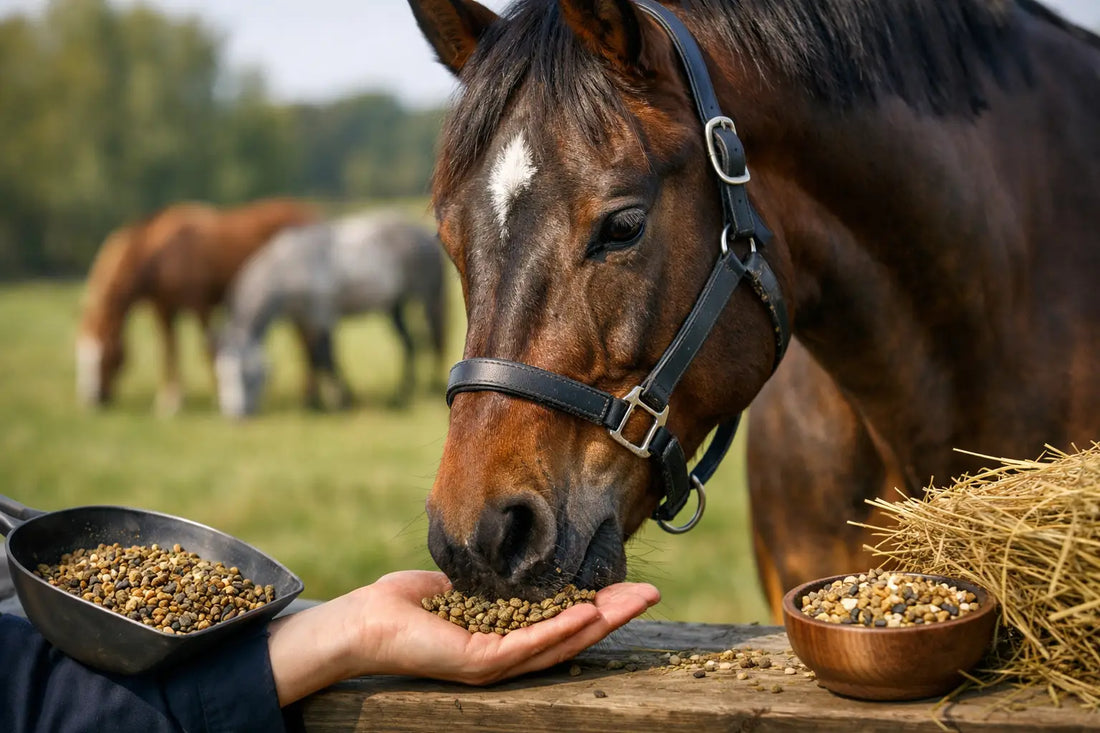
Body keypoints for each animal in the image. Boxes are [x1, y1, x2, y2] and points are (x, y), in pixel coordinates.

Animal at [76, 198, 317, 414]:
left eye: (106, 356)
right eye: (81, 357)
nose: (94, 400)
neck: (160, 254)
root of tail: (311, 215)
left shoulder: (200, 306)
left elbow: (209, 349)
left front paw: (218, 398)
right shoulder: (163, 310)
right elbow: (169, 351)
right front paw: (170, 400)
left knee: (306, 341)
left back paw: (308, 399)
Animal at [213, 212, 448, 418]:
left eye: (247, 375)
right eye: (222, 374)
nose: (237, 415)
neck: (287, 267)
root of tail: (422, 233)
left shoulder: (321, 316)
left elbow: (326, 357)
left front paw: (342, 402)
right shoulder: (304, 319)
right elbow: (313, 358)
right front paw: (313, 403)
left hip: (428, 299)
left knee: (433, 340)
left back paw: (431, 387)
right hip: (395, 306)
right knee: (409, 344)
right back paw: (402, 393)